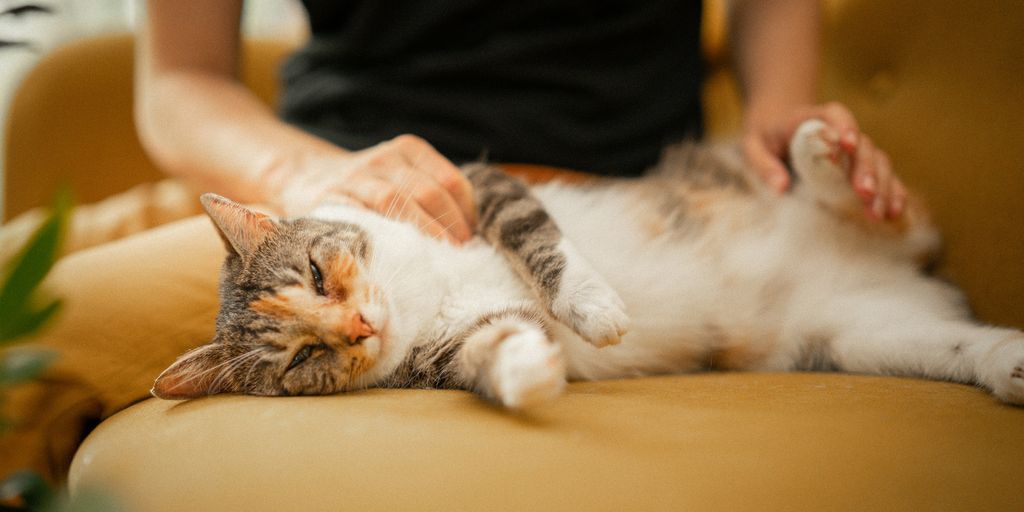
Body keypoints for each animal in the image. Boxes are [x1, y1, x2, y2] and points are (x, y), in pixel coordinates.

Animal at [149, 119, 1024, 407]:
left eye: (319, 275)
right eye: (301, 358)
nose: (361, 326)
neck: (419, 292)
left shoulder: (481, 184)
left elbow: (541, 240)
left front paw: (593, 310)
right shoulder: (457, 343)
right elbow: (495, 347)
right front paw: (529, 371)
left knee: (896, 214)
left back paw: (829, 156)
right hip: (855, 337)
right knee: (955, 338)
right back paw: (1008, 362)